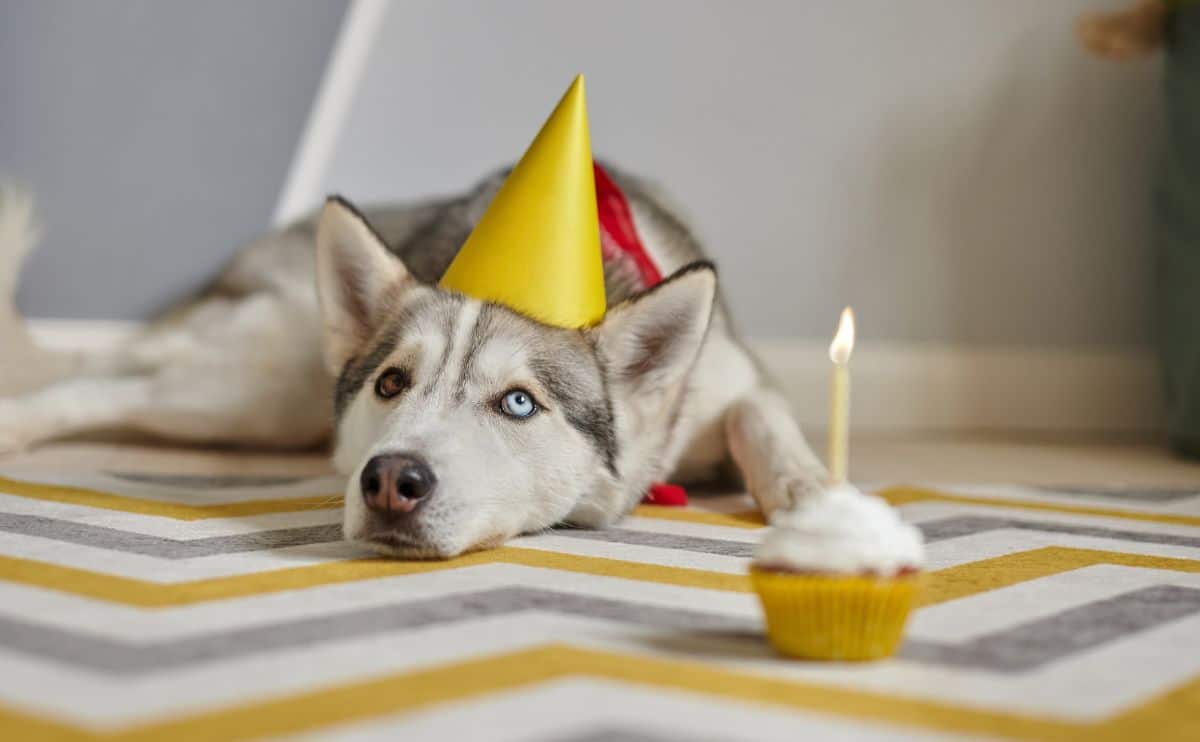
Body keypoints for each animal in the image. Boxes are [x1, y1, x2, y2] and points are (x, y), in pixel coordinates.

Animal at [0, 168, 825, 557]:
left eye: (519, 402)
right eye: (392, 382)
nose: (390, 482)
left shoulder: (736, 378)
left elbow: (761, 414)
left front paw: (806, 486)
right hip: (256, 393)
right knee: (97, 386)